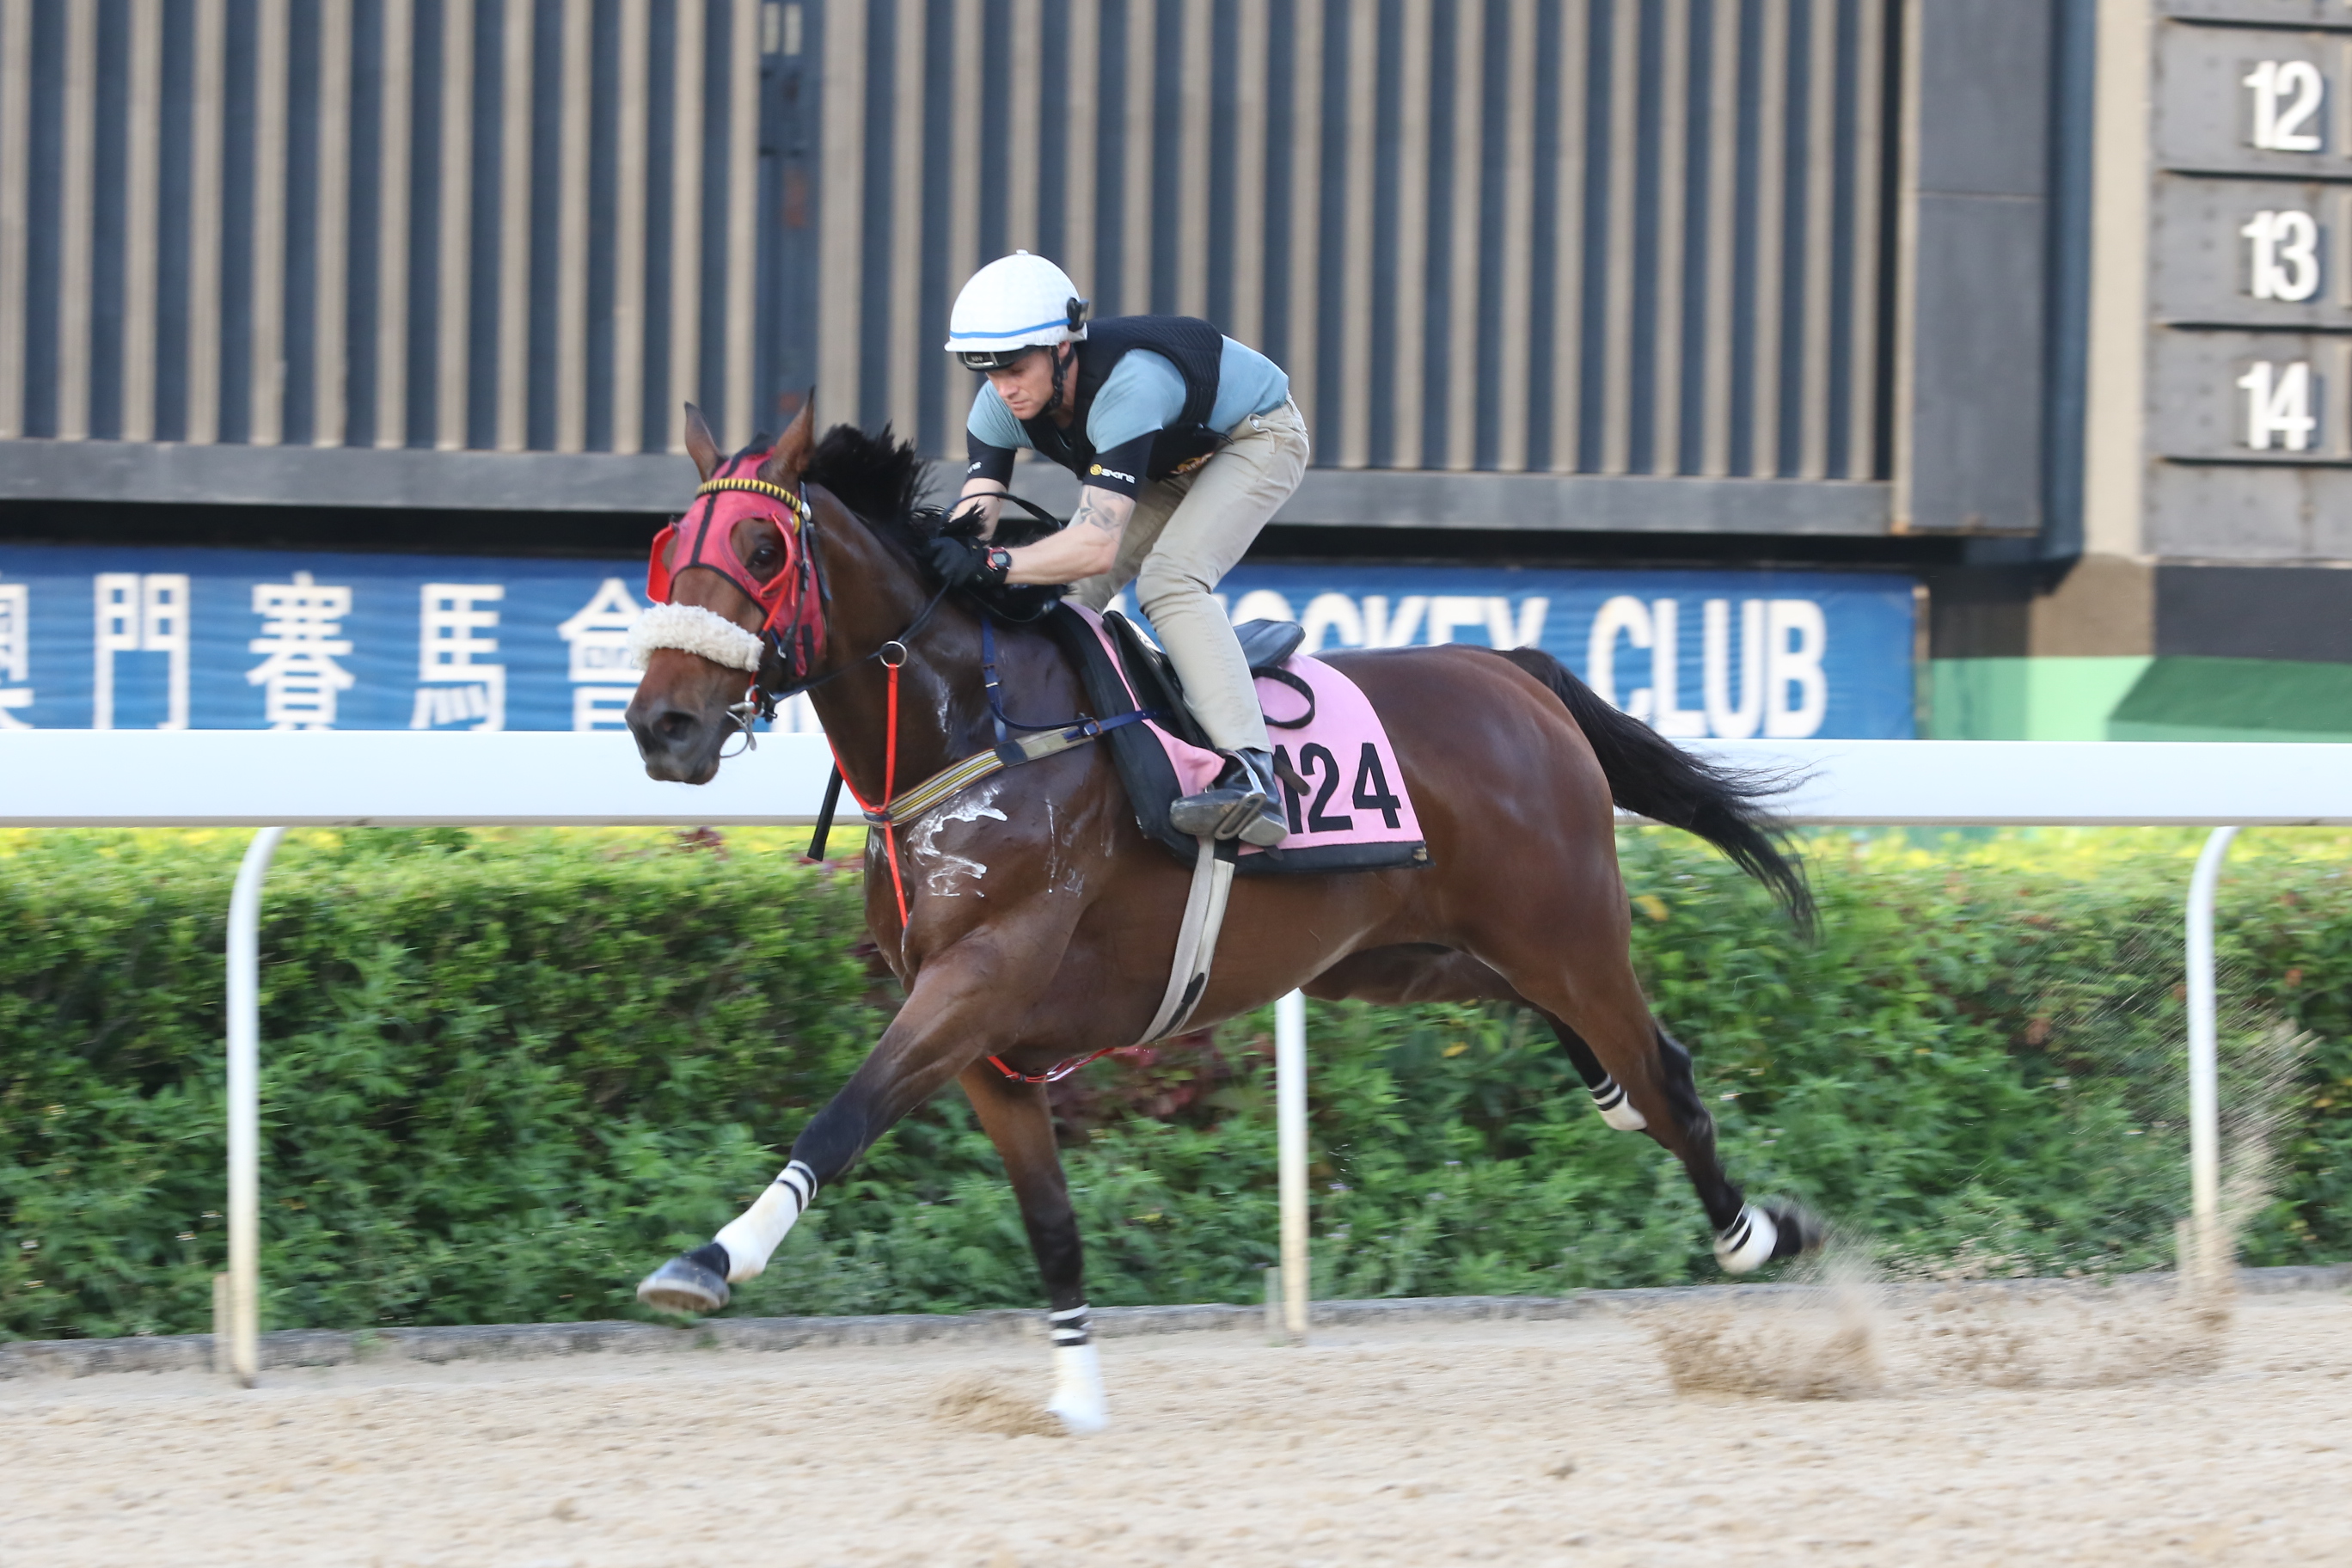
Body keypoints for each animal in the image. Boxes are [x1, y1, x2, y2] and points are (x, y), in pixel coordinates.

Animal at [625, 404, 1816, 1438]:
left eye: (764, 548)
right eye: (666, 547)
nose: (662, 725)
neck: (978, 731)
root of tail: (1508, 669)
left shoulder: (984, 975)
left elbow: (841, 1119)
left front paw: (706, 1262)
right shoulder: (985, 1040)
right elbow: (1049, 1222)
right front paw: (1077, 1398)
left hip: (1565, 934)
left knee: (1664, 1070)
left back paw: (1754, 1235)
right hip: (1411, 955)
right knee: (1605, 1063)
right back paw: (1677, 1154)